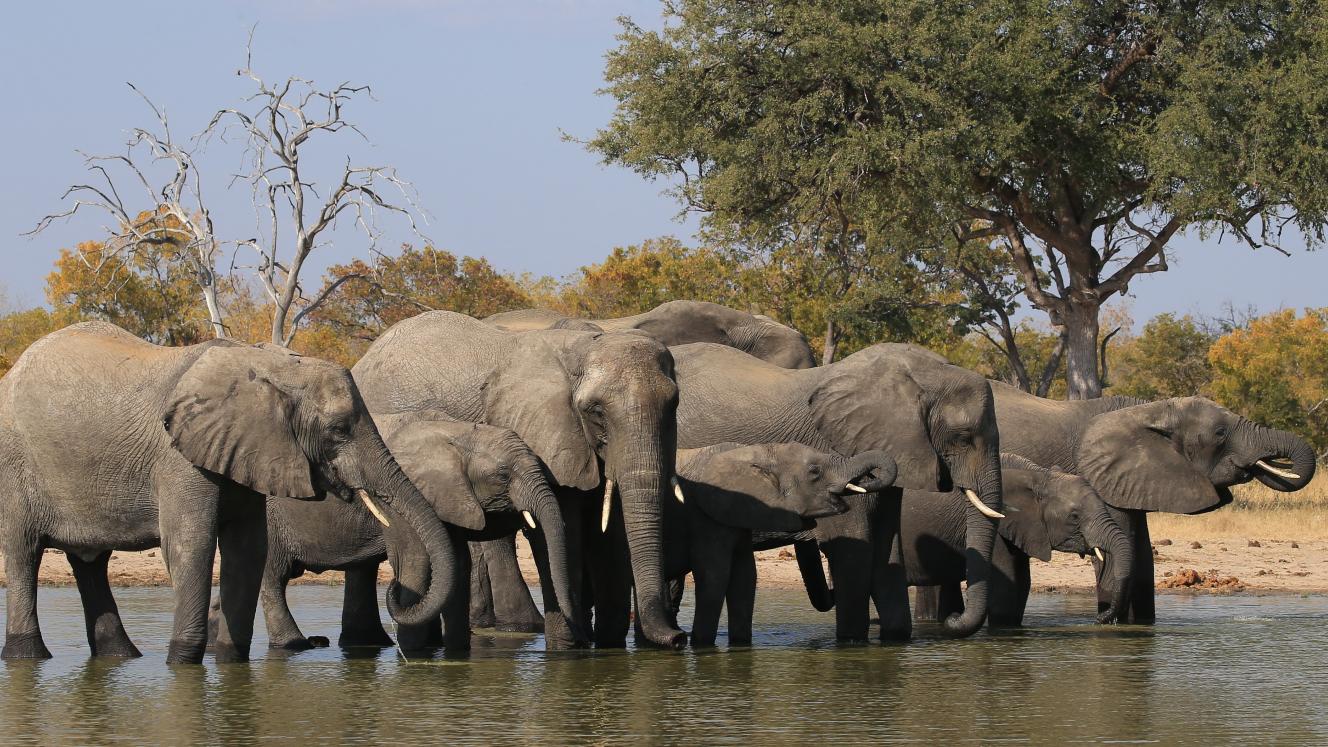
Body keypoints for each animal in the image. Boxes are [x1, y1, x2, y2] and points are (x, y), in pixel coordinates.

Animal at [0, 322, 455, 663]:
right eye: (339, 430)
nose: (395, 591)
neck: (266, 364)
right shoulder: (179, 459)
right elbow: (192, 545)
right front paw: (183, 664)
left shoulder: (247, 450)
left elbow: (248, 549)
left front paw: (231, 664)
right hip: (15, 470)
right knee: (23, 554)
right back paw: (28, 656)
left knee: (89, 563)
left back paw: (122, 657)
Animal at [248, 413, 583, 652]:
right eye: (503, 476)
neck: (456, 431)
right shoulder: (404, 498)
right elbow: (415, 563)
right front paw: (415, 656)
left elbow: (458, 565)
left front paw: (456, 654)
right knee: (272, 577)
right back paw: (296, 646)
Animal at [351, 310, 687, 649]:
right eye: (596, 411)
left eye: (674, 405)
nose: (678, 638)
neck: (582, 348)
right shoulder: (544, 434)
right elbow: (561, 531)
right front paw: (568, 648)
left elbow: (609, 532)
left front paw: (608, 648)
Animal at [664, 443, 896, 647]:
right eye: (814, 471)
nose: (867, 481)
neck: (754, 452)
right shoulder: (705, 517)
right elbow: (715, 576)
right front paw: (702, 646)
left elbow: (746, 577)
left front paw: (741, 645)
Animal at [880, 454, 1134, 628]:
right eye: (1074, 516)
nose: (1099, 618)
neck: (1038, 476)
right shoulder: (997, 526)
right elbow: (1006, 589)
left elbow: (1022, 584)